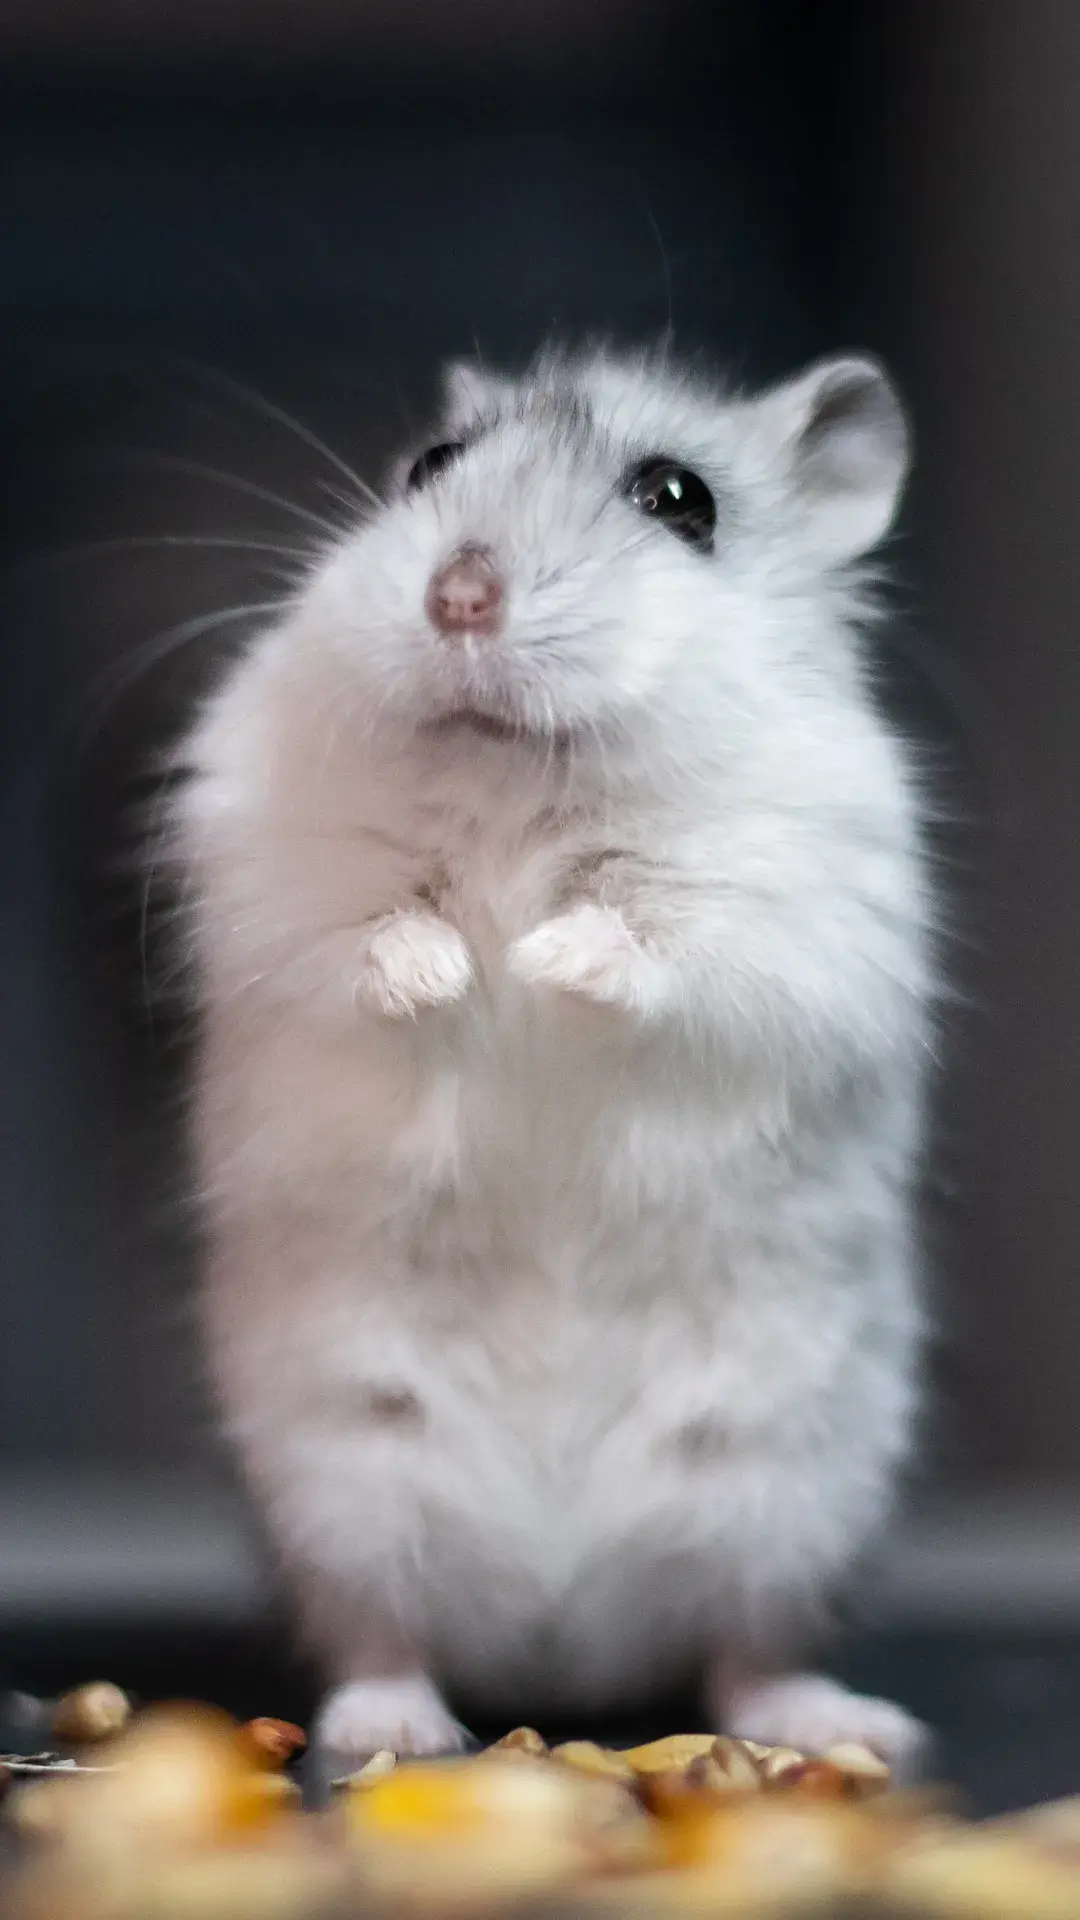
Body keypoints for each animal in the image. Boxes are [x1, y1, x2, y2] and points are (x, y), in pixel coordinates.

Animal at [173, 345, 932, 1771]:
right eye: (429, 468)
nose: (458, 595)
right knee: (384, 1633)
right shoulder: (282, 874)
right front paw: (451, 972)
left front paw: (538, 960)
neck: (518, 776)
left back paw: (843, 1727)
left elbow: (655, 942)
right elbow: (366, 933)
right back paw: (395, 1730)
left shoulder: (787, 912)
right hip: (346, 1472)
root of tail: (564, 1645)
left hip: (788, 1482)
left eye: (680, 499)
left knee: (744, 1650)